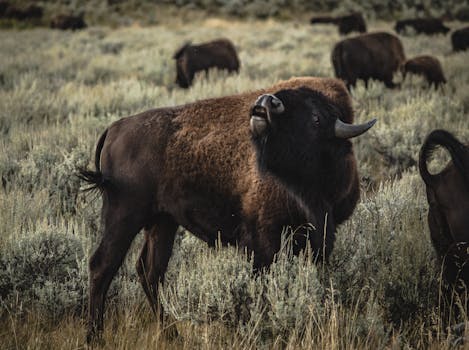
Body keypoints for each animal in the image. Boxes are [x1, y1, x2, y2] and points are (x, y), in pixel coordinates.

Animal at [79, 76, 372, 342]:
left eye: (316, 118)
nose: (267, 102)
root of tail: (115, 127)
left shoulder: (318, 239)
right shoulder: (263, 240)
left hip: (163, 221)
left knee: (150, 272)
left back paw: (172, 334)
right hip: (123, 216)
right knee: (103, 265)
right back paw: (95, 337)